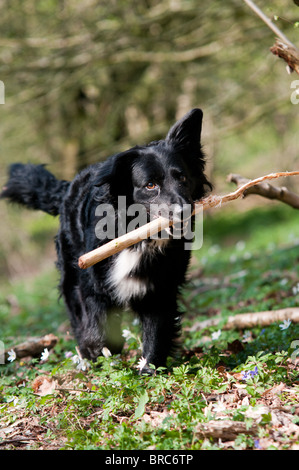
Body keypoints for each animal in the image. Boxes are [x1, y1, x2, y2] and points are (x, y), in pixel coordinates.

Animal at [0, 108, 211, 372]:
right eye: (150, 185)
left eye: (182, 178)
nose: (184, 211)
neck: (138, 235)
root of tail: (67, 188)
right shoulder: (92, 283)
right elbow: (96, 326)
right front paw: (96, 351)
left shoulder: (159, 286)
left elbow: (157, 329)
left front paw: (150, 369)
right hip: (71, 271)